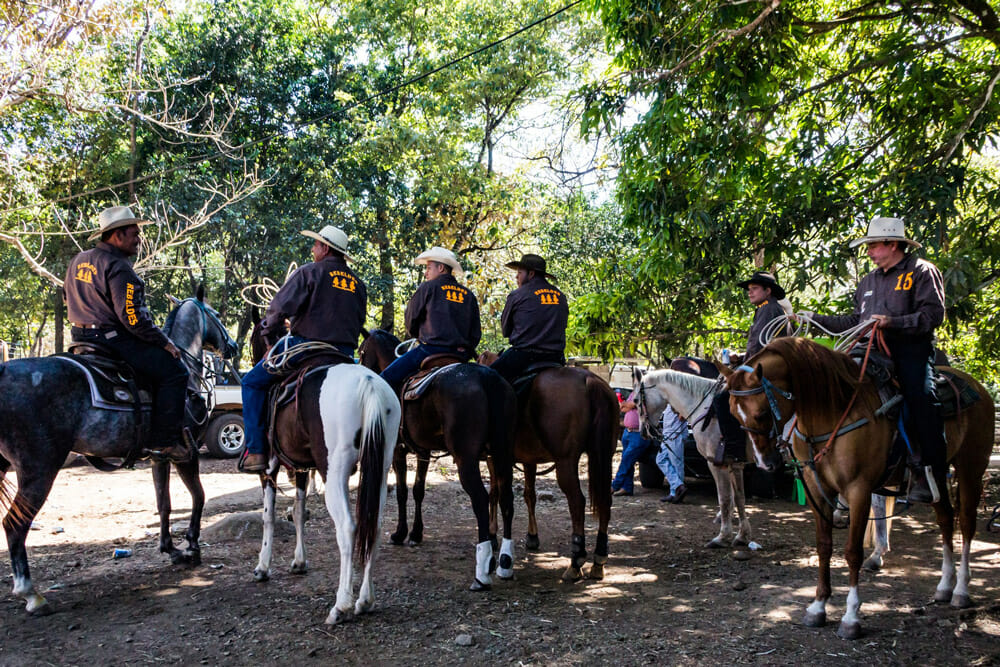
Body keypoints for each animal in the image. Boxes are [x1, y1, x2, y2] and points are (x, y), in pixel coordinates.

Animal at [0, 292, 236, 616]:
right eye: (216, 315)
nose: (234, 346)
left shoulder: (159, 457)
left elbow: (164, 504)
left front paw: (171, 549)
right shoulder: (186, 454)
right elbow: (199, 496)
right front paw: (192, 546)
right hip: (39, 469)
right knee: (15, 524)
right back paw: (31, 594)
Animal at [358, 328, 516, 588]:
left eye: (362, 352)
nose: (360, 368)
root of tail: (486, 378)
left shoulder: (398, 450)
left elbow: (402, 492)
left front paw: (400, 533)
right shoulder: (422, 452)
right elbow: (418, 490)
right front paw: (416, 533)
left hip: (467, 459)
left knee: (481, 499)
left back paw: (483, 571)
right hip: (502, 454)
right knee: (506, 500)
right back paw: (505, 563)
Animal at [482, 352, 620, 580]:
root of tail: (589, 379)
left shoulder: (494, 459)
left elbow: (494, 493)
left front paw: (492, 536)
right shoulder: (529, 460)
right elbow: (529, 495)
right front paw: (532, 537)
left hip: (566, 462)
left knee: (577, 502)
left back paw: (575, 562)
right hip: (604, 456)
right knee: (605, 500)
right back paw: (599, 560)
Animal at [632, 370, 752, 548]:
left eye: (635, 400)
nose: (643, 432)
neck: (705, 407)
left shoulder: (717, 463)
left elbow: (724, 498)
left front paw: (723, 536)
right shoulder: (735, 463)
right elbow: (738, 497)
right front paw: (742, 536)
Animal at [724, 336, 996, 640]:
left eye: (760, 414)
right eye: (734, 415)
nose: (765, 463)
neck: (832, 412)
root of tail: (977, 387)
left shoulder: (859, 491)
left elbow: (853, 552)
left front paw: (851, 617)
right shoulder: (817, 490)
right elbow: (824, 546)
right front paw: (818, 607)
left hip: (971, 467)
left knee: (967, 523)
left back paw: (961, 590)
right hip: (937, 473)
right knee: (946, 520)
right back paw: (945, 587)